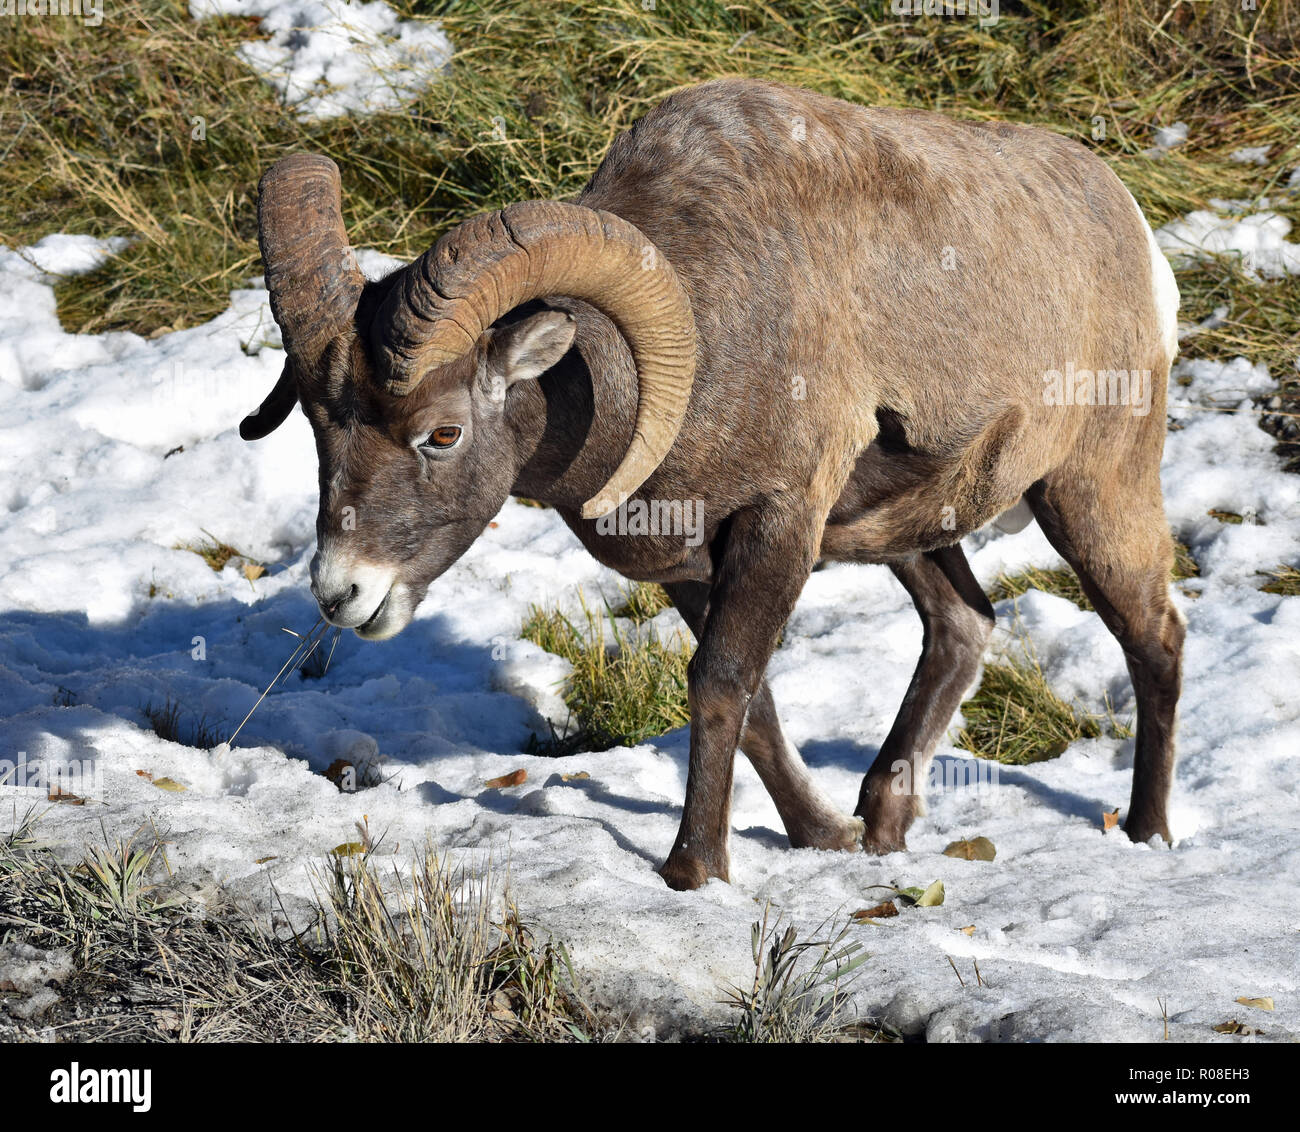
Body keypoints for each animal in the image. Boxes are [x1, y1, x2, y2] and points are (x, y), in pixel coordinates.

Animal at [240, 78, 1183, 891]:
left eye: (443, 433)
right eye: (320, 429)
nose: (341, 592)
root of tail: (1134, 232)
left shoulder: (776, 527)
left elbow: (720, 684)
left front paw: (695, 871)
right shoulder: (694, 566)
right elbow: (751, 703)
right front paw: (824, 838)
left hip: (1092, 492)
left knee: (1155, 639)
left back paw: (1148, 834)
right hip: (902, 532)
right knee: (963, 625)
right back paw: (883, 826)